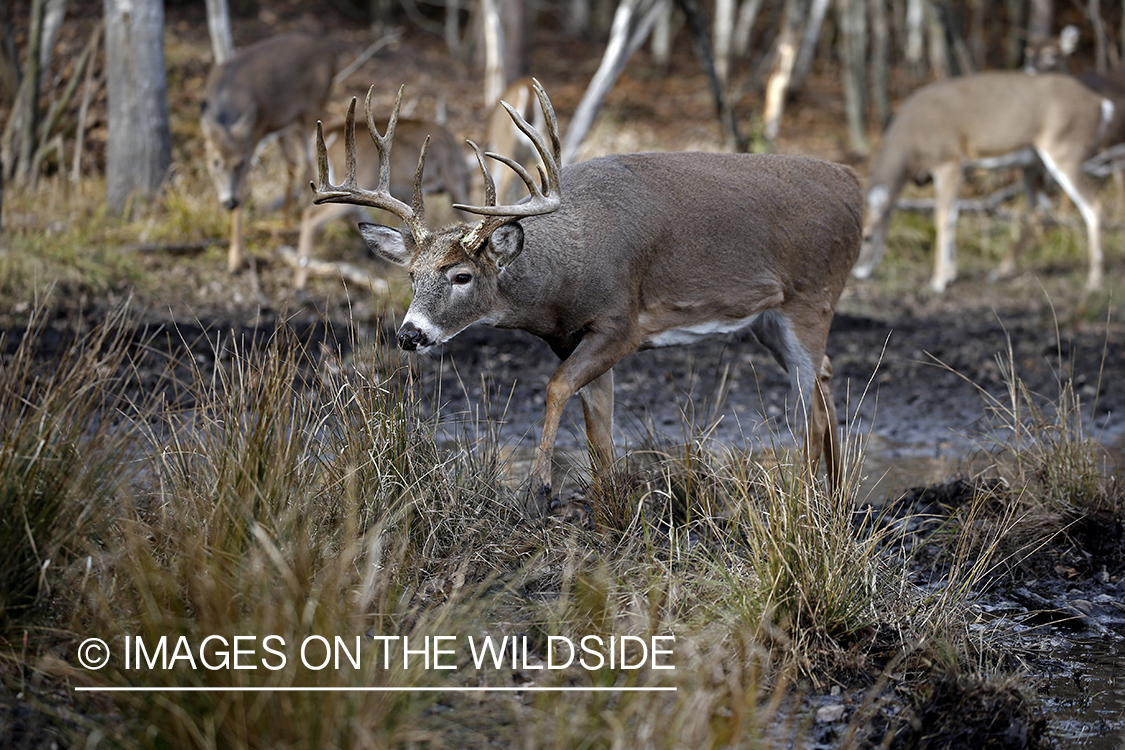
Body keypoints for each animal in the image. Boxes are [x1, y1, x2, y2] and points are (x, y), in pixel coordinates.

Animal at [201, 33, 333, 273]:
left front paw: (235, 258)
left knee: (309, 163)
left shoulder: (254, 135)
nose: (229, 202)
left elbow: (244, 192)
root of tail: (329, 53)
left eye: (240, 163)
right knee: (293, 161)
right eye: (215, 162)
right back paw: (285, 222)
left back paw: (301, 218)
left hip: (313, 109)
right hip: (285, 121)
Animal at [312, 83, 864, 517]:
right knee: (824, 380)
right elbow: (598, 429)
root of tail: (853, 186)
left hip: (813, 295)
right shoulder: (572, 336)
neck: (564, 278)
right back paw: (837, 495)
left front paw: (539, 491)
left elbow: (557, 387)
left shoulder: (622, 323)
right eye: (410, 274)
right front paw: (608, 514)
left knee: (810, 401)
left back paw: (808, 501)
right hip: (768, 319)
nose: (410, 334)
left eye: (462, 275)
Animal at [850, 70, 1116, 292]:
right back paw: (999, 272)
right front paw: (951, 274)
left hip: (1065, 149)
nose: (858, 274)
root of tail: (1101, 104)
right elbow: (954, 215)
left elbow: (943, 216)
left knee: (1093, 207)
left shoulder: (948, 160)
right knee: (1040, 206)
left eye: (867, 237)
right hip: (1032, 162)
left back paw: (1094, 282)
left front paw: (938, 280)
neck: (910, 146)